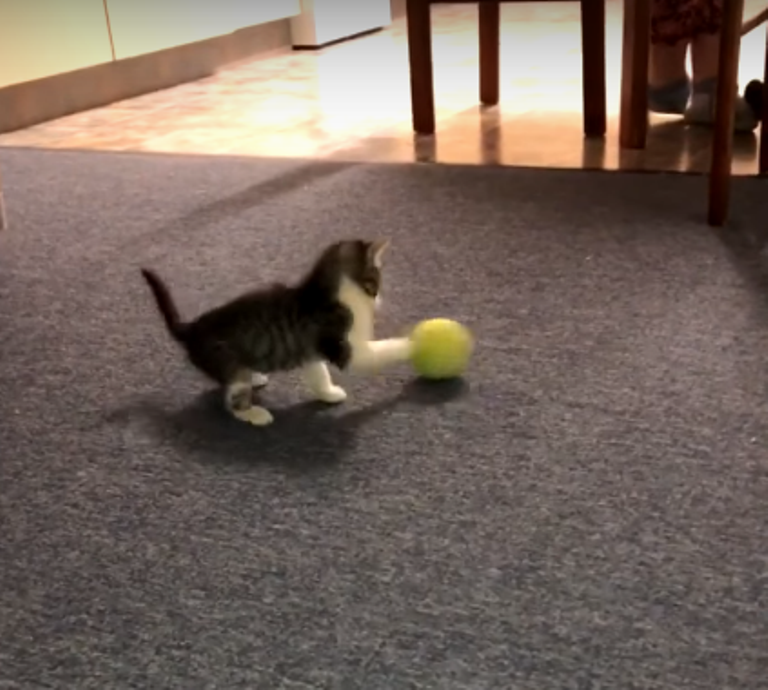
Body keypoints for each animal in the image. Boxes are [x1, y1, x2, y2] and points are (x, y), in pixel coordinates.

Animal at [140, 239, 412, 426]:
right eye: (376, 282)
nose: (380, 301)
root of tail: (192, 328)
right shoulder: (344, 347)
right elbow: (383, 349)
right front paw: (412, 342)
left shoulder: (310, 351)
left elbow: (319, 374)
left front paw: (328, 393)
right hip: (230, 367)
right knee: (232, 402)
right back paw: (255, 413)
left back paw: (257, 376)